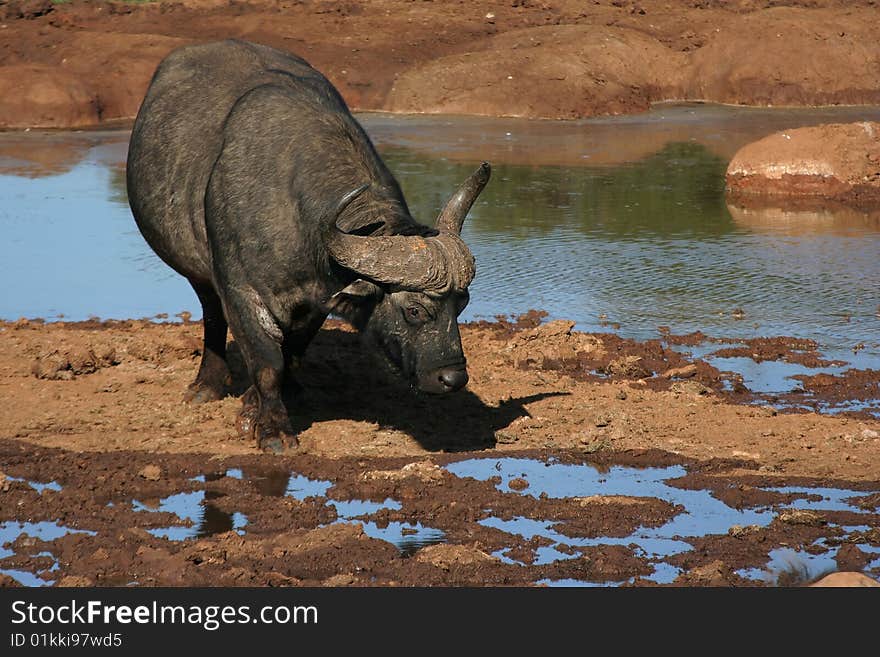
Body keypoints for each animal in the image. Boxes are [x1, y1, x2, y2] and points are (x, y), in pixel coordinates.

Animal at [127, 39, 492, 452]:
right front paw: (272, 430)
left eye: (461, 305)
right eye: (414, 310)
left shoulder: (319, 299)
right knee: (212, 314)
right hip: (199, 274)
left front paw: (258, 405)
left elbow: (292, 350)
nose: (453, 379)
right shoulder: (240, 290)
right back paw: (207, 384)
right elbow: (267, 363)